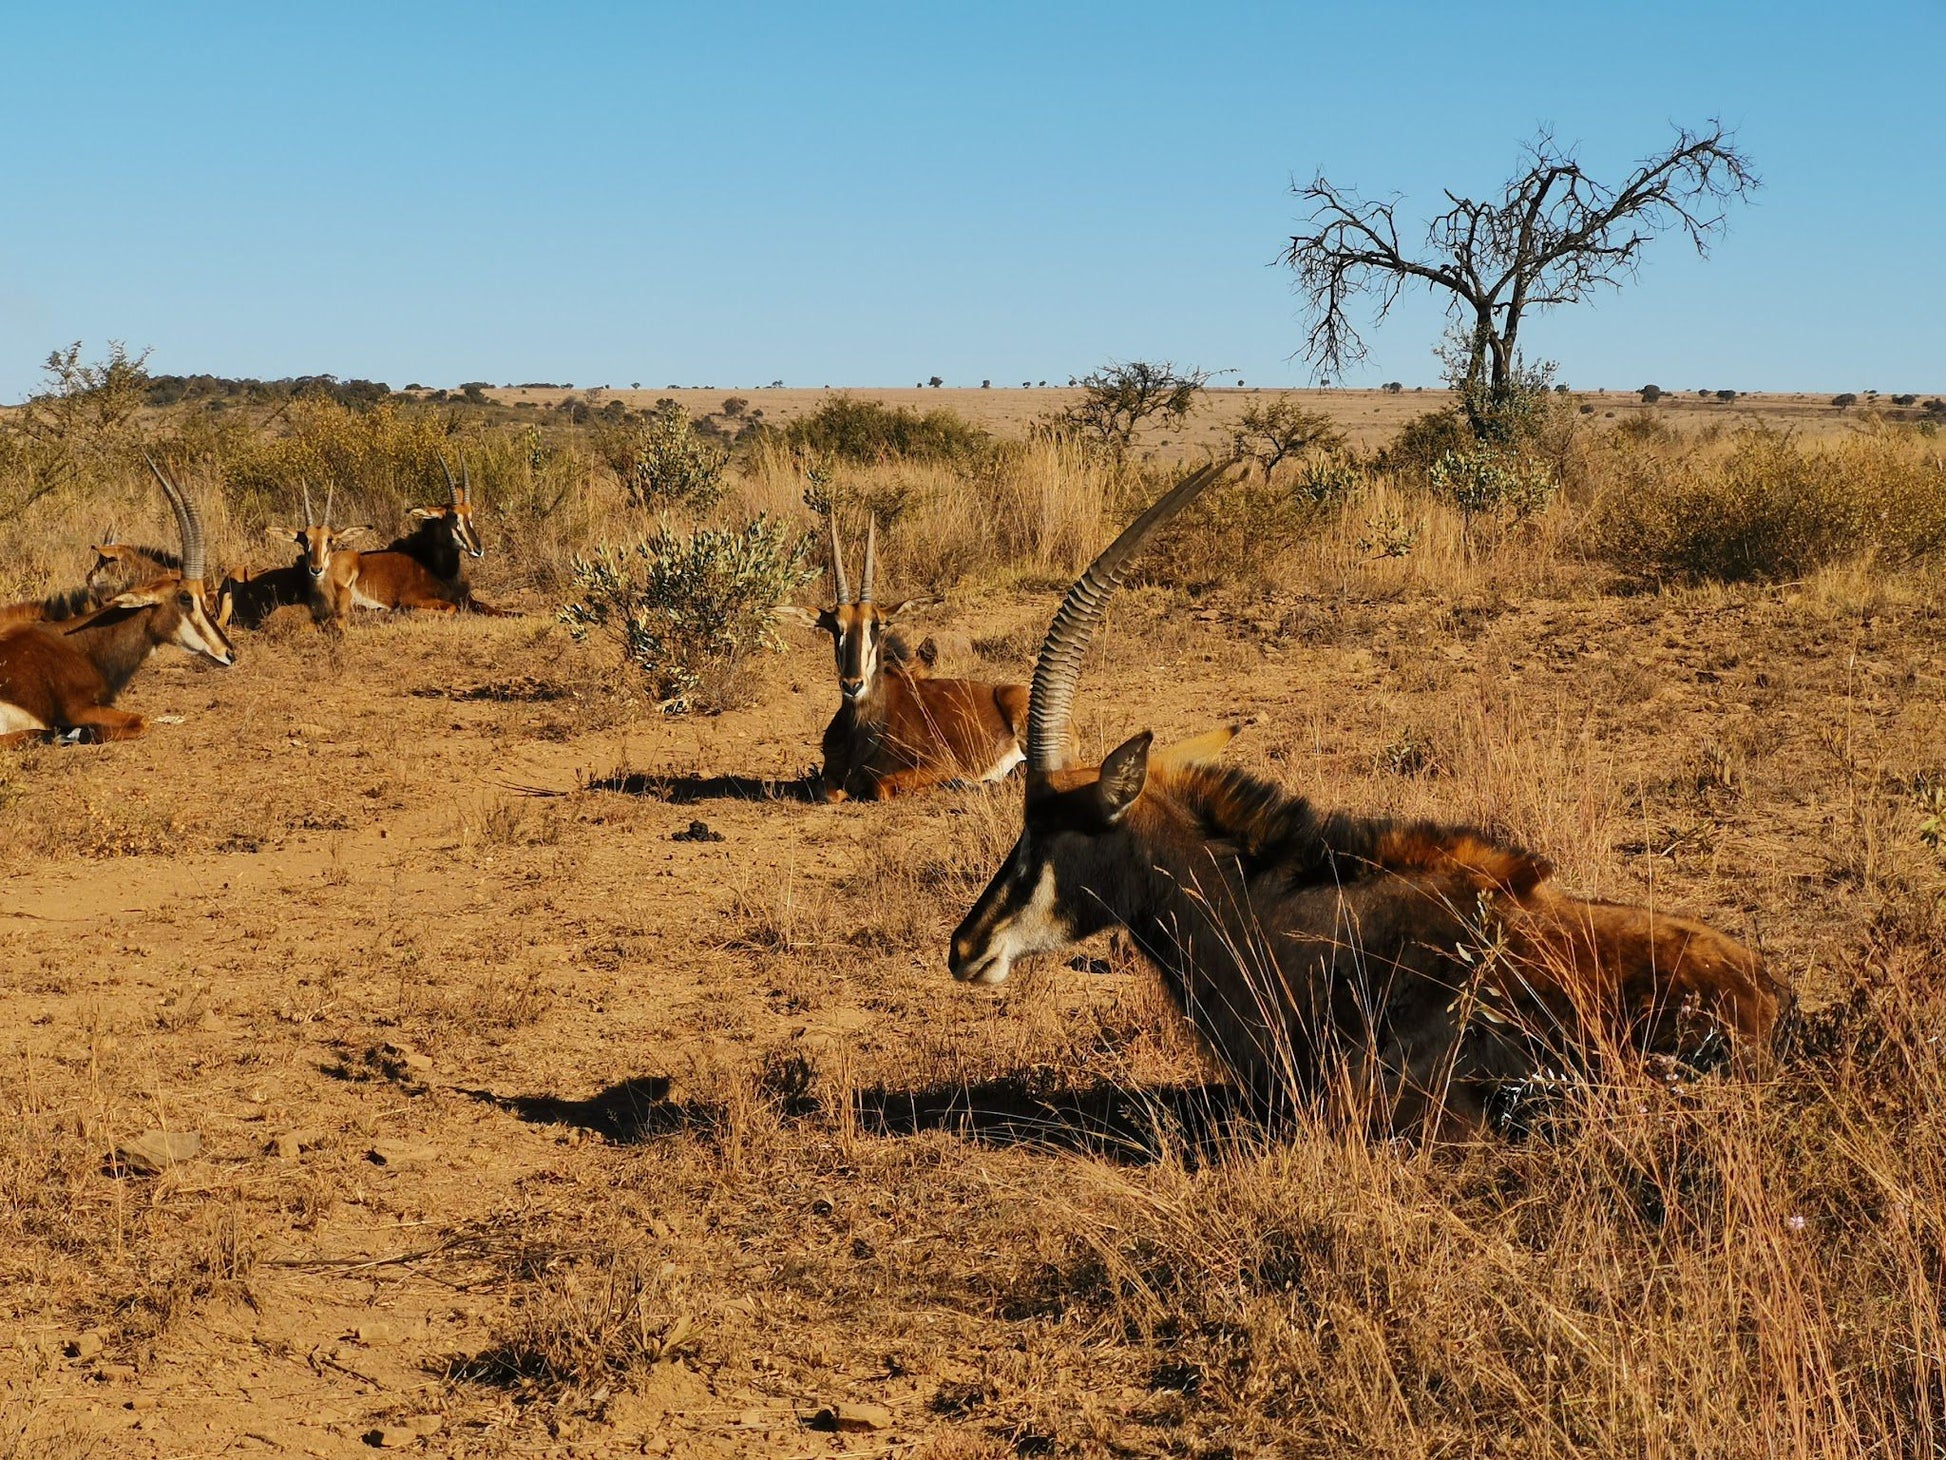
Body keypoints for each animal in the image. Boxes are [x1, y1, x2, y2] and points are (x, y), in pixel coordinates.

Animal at [782, 517, 1035, 813]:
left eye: (876, 625)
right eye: (835, 628)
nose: (852, 685)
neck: (864, 730)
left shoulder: (939, 764)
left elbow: (880, 786)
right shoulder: (830, 778)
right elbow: (829, 791)